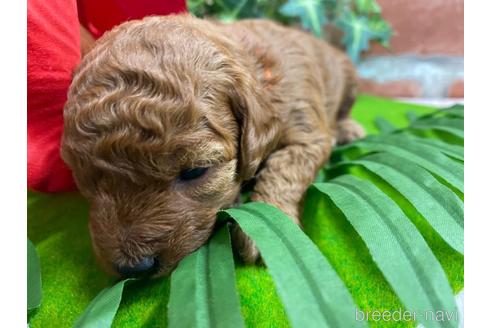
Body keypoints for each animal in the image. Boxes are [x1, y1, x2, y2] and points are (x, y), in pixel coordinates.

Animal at [59, 14, 364, 278]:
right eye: (85, 177)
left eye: (196, 172)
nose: (134, 268)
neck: (258, 72)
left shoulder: (307, 131)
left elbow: (284, 172)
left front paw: (266, 225)